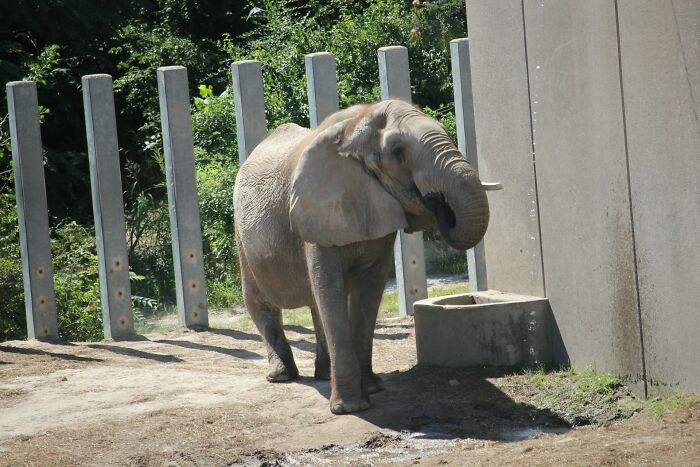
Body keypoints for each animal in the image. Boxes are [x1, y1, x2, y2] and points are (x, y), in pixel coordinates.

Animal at [233, 99, 498, 414]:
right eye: (397, 151)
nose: (435, 198)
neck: (354, 127)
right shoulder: (318, 208)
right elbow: (330, 288)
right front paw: (350, 408)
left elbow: (368, 289)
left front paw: (372, 388)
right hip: (242, 232)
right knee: (260, 301)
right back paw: (282, 376)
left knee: (315, 304)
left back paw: (323, 374)